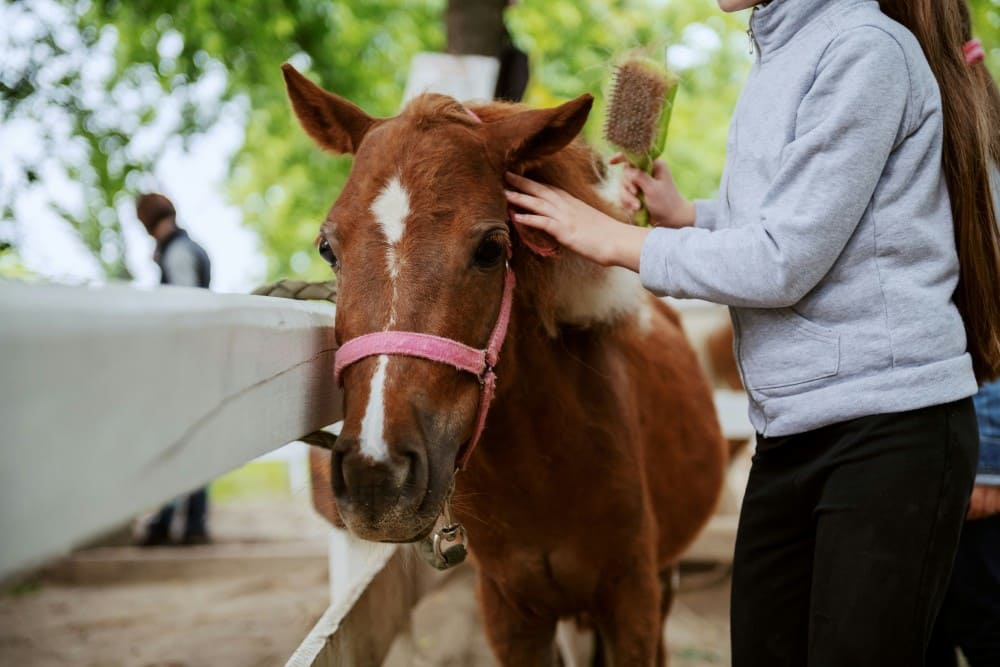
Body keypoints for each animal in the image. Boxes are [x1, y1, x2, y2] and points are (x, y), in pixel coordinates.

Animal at [282, 63, 727, 666]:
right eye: (328, 248)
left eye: (492, 247)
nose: (376, 474)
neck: (545, 470)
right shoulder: (510, 612)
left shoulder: (632, 597)